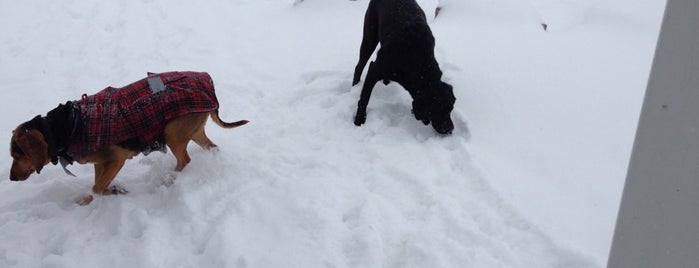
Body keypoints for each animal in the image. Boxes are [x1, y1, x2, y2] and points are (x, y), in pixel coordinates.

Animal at [9, 71, 247, 205]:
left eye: (16, 155)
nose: (11, 178)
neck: (67, 125)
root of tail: (210, 90)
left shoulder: (117, 159)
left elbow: (96, 189)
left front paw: (97, 197)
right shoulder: (100, 163)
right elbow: (99, 186)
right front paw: (109, 192)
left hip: (172, 132)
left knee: (185, 160)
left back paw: (169, 180)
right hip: (191, 130)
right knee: (211, 148)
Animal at [352, 0, 456, 135]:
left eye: (451, 108)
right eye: (438, 108)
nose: (450, 129)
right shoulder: (374, 69)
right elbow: (364, 98)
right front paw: (359, 120)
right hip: (369, 36)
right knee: (359, 66)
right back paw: (354, 86)